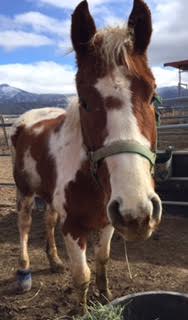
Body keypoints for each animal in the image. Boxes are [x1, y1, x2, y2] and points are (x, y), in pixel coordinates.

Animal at [10, 0, 162, 312]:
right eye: (84, 101)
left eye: (152, 95)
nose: (137, 212)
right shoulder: (74, 228)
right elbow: (82, 276)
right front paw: (82, 310)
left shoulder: (108, 222)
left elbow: (102, 261)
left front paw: (105, 297)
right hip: (25, 192)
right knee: (25, 225)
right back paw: (24, 270)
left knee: (49, 221)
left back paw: (55, 261)